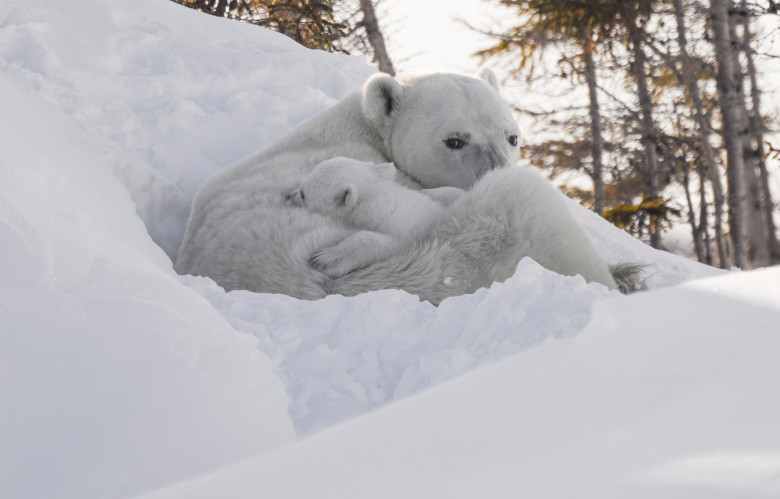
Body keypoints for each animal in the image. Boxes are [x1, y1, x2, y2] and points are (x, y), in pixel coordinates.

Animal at [284, 157, 460, 278]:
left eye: (303, 193)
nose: (287, 195)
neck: (374, 197)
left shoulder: (409, 233)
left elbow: (378, 241)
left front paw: (324, 259)